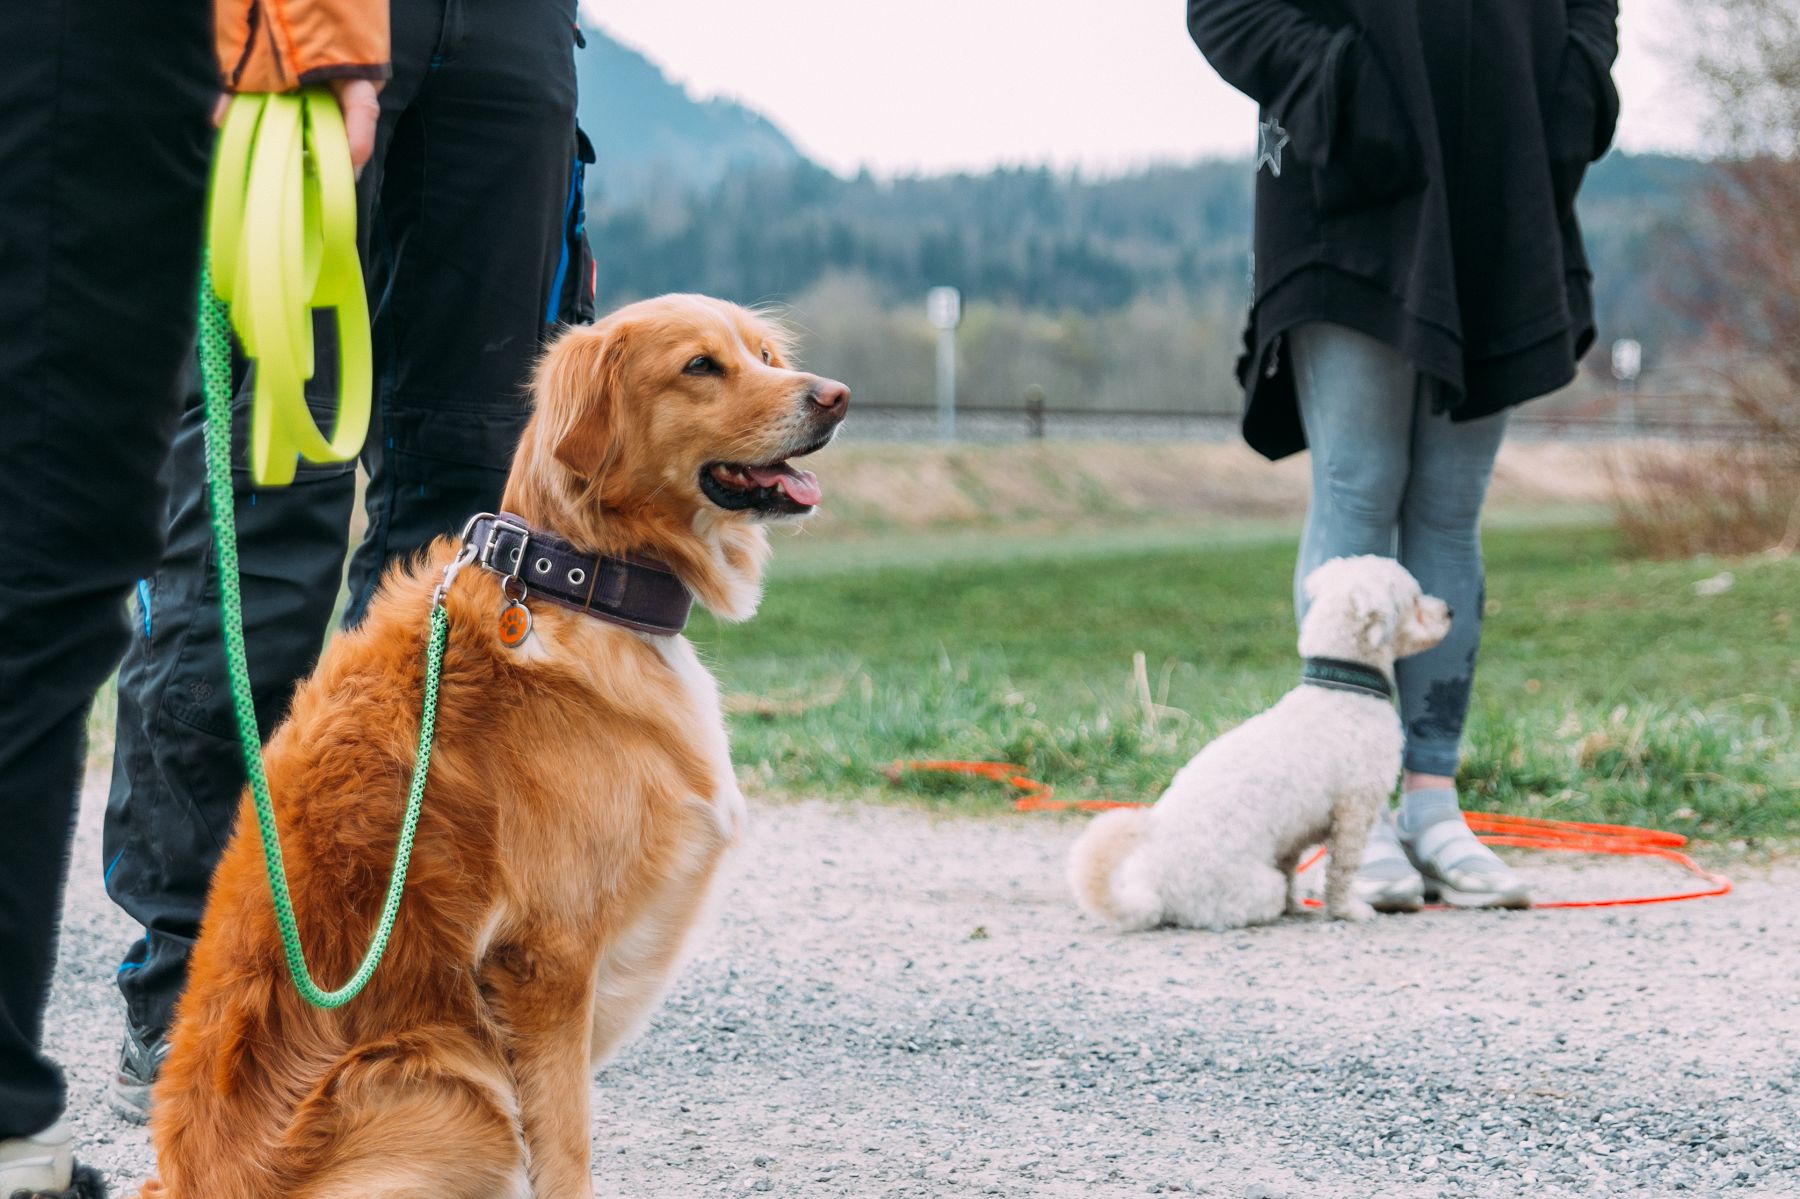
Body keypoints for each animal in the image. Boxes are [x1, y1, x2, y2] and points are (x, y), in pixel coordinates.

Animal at [136, 291, 846, 1195]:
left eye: (764, 355)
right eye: (699, 365)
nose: (835, 396)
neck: (572, 577)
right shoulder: (545, 958)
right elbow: (567, 1142)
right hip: (460, 1091)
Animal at [1065, 554, 1447, 928]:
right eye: (1415, 600)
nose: (1449, 612)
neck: (1343, 688)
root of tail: (1152, 894)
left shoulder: (1292, 836)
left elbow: (1291, 867)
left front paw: (1297, 906)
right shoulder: (1355, 810)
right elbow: (1341, 871)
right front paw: (1348, 911)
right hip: (1259, 888)